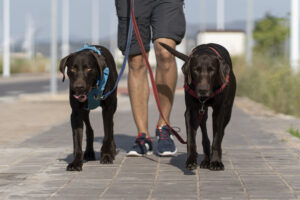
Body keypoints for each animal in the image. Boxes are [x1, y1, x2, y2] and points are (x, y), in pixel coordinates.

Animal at [161, 42, 236, 170]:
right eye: (196, 69)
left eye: (212, 70)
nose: (203, 90)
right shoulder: (191, 112)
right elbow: (191, 139)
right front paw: (191, 160)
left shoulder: (219, 111)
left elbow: (217, 138)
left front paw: (216, 161)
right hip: (202, 113)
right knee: (205, 136)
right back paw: (206, 160)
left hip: (228, 112)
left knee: (221, 133)